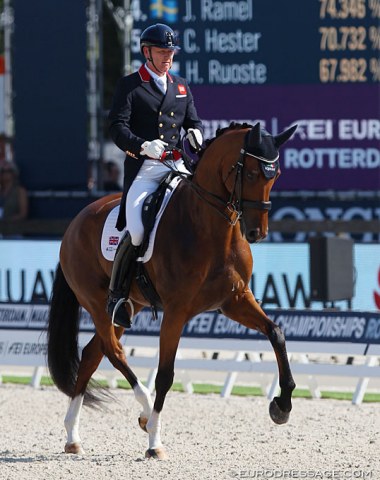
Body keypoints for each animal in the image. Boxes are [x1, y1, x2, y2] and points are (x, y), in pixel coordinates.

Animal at [46, 122, 296, 460]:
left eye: (276, 174)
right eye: (253, 173)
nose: (258, 232)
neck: (212, 229)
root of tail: (75, 223)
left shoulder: (234, 300)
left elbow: (276, 333)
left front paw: (282, 405)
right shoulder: (176, 311)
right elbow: (165, 374)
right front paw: (155, 441)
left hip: (125, 307)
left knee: (92, 355)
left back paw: (73, 436)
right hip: (96, 303)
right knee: (114, 351)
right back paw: (144, 413)